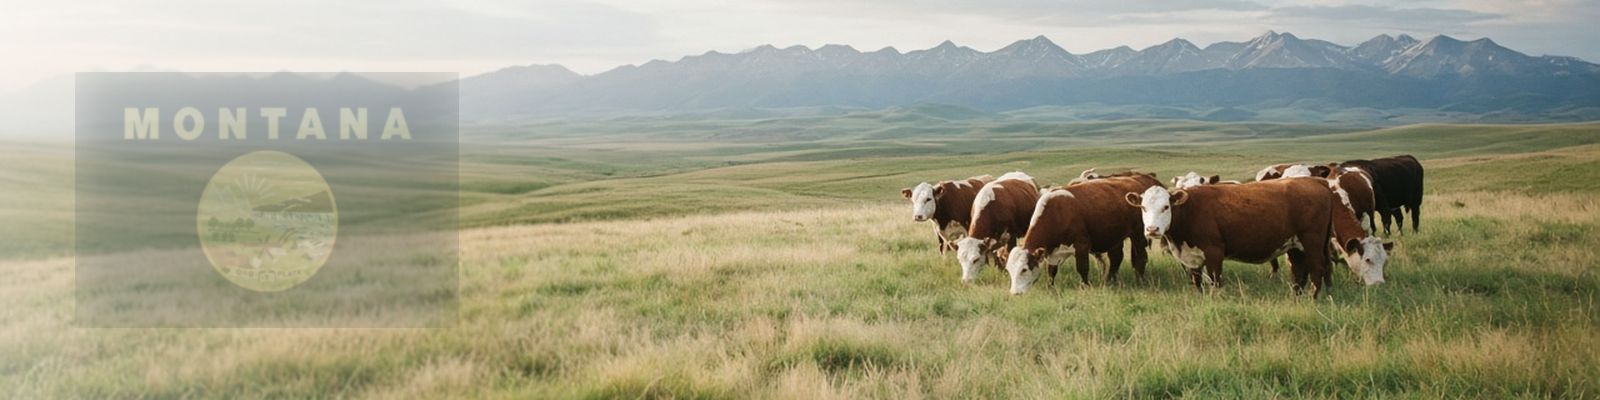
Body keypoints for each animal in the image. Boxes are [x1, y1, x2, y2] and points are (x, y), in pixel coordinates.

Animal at [1002, 174, 1162, 294]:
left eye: (1024, 269)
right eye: (1009, 270)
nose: (1015, 293)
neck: (1057, 213)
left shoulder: (1082, 245)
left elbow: (1082, 268)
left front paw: (1086, 286)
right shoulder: (1053, 252)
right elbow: (1051, 271)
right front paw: (1050, 287)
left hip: (1138, 234)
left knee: (1141, 257)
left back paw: (1139, 281)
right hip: (1115, 237)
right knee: (1116, 258)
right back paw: (1109, 280)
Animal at [1125, 177, 1335, 297]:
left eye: (1166, 206)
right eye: (1143, 207)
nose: (1152, 229)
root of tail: (1318, 183)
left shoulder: (1214, 252)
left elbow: (1216, 282)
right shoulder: (1192, 258)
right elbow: (1196, 282)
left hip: (1312, 241)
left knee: (1317, 269)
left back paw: (1312, 298)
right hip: (1295, 245)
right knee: (1299, 271)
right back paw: (1297, 297)